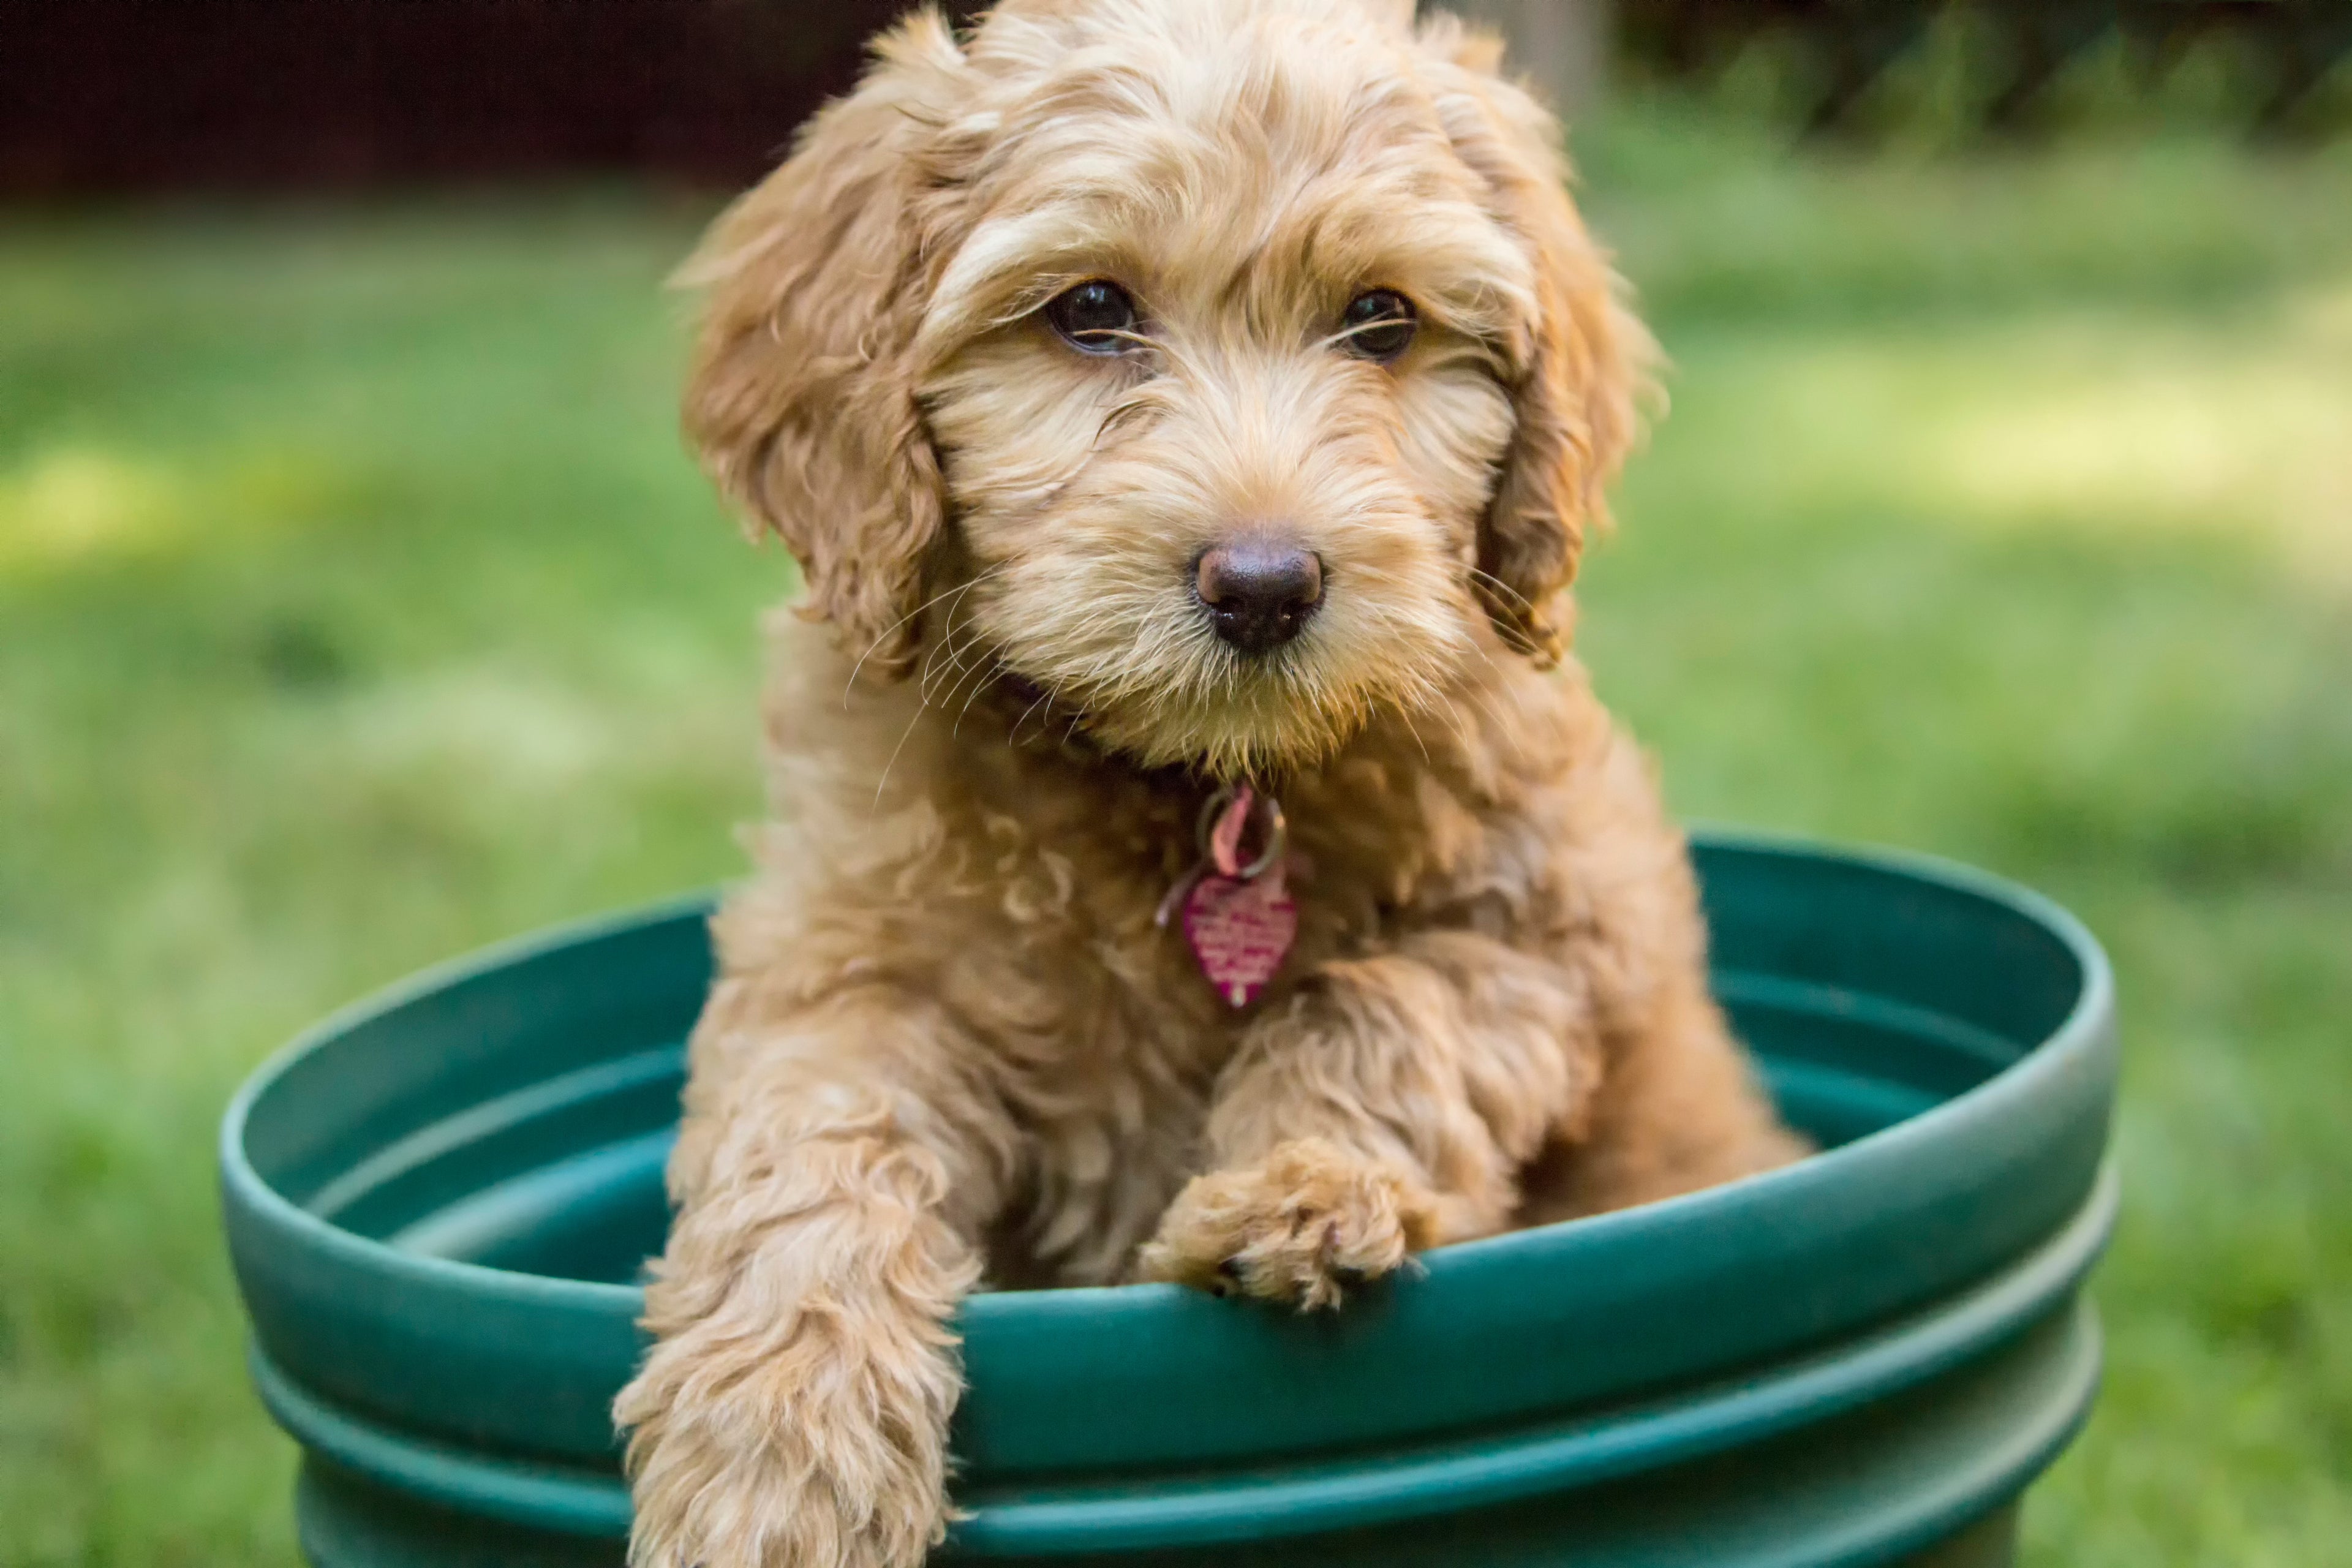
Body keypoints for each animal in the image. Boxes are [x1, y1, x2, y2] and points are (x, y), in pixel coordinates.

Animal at [616, 3, 1806, 1568]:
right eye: (1088, 310)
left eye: (1382, 320)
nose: (1265, 584)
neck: (1192, 784)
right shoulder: (843, 956)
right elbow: (806, 1139)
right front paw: (775, 1452)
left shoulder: (1569, 909)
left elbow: (1387, 997)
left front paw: (1298, 1185)